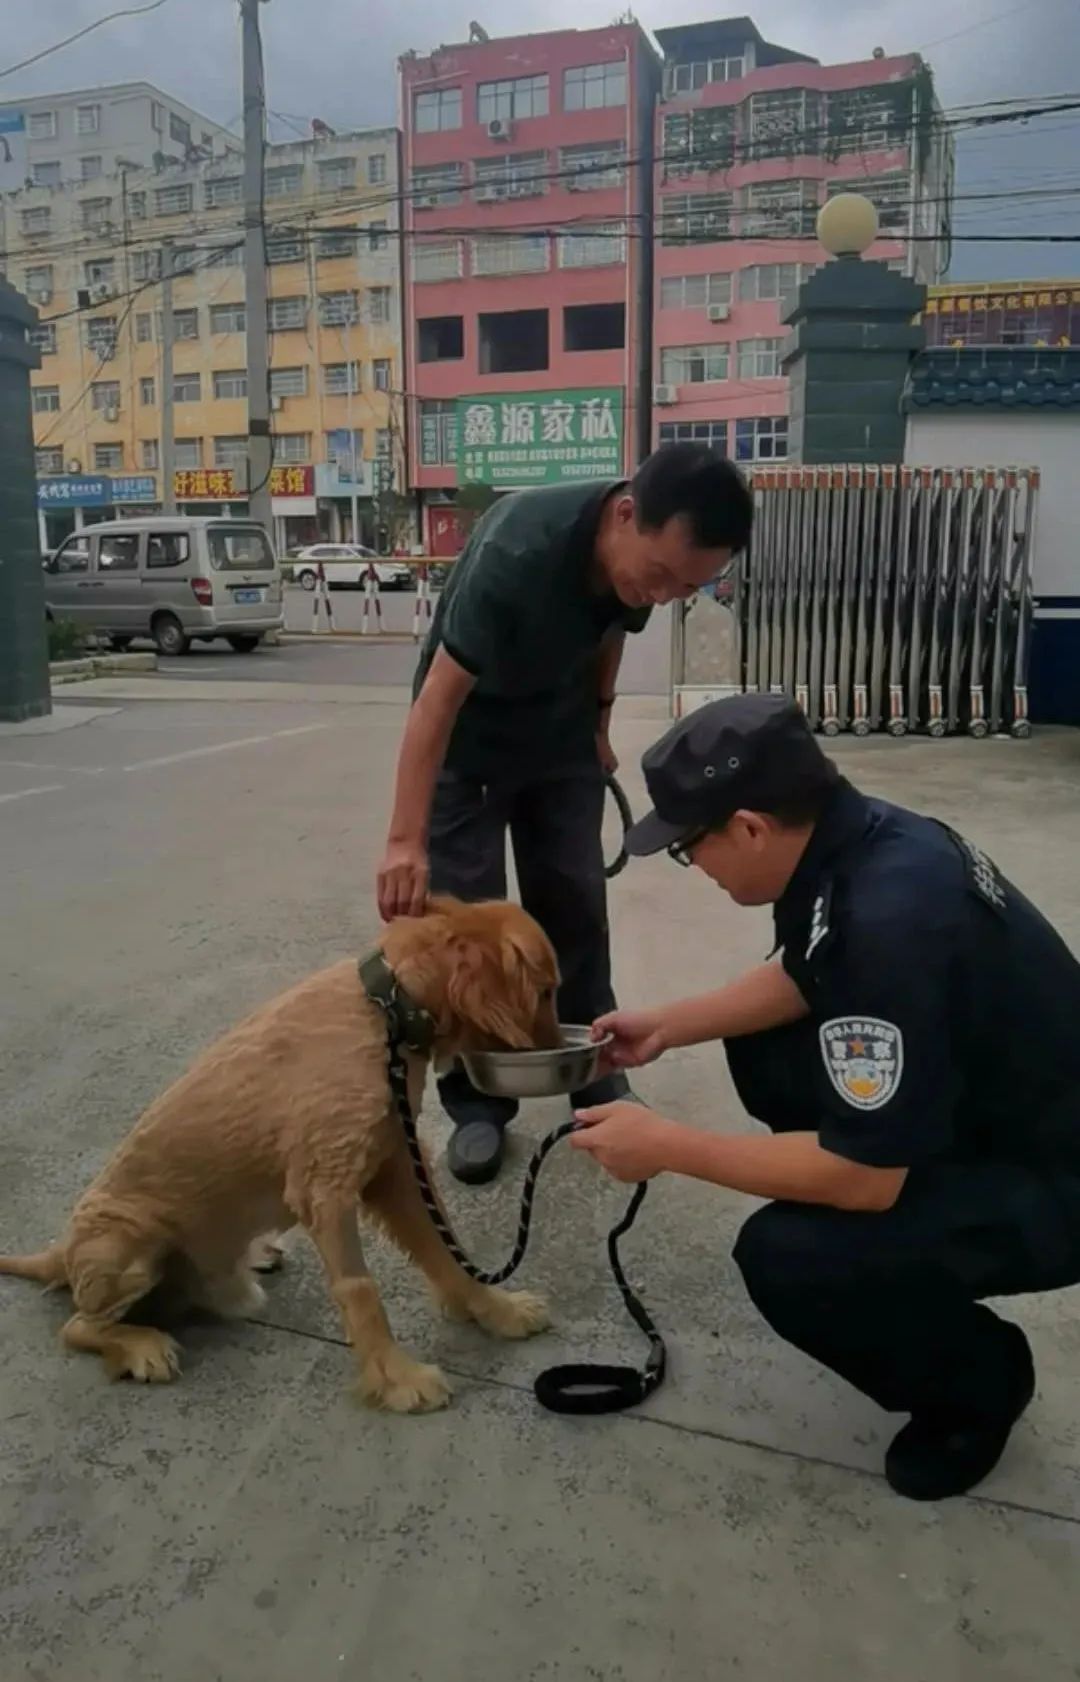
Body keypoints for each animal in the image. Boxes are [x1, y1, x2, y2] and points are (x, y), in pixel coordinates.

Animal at [0, 901, 555, 1412]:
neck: (387, 1007)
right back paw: (141, 1345)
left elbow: (447, 1249)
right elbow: (360, 1289)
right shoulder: (325, 1189)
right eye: (547, 990)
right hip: (127, 1247)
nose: (559, 1050)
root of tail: (62, 1251)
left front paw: (496, 1310)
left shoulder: (392, 1163)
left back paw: (252, 1257)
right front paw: (397, 1378)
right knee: (77, 1325)